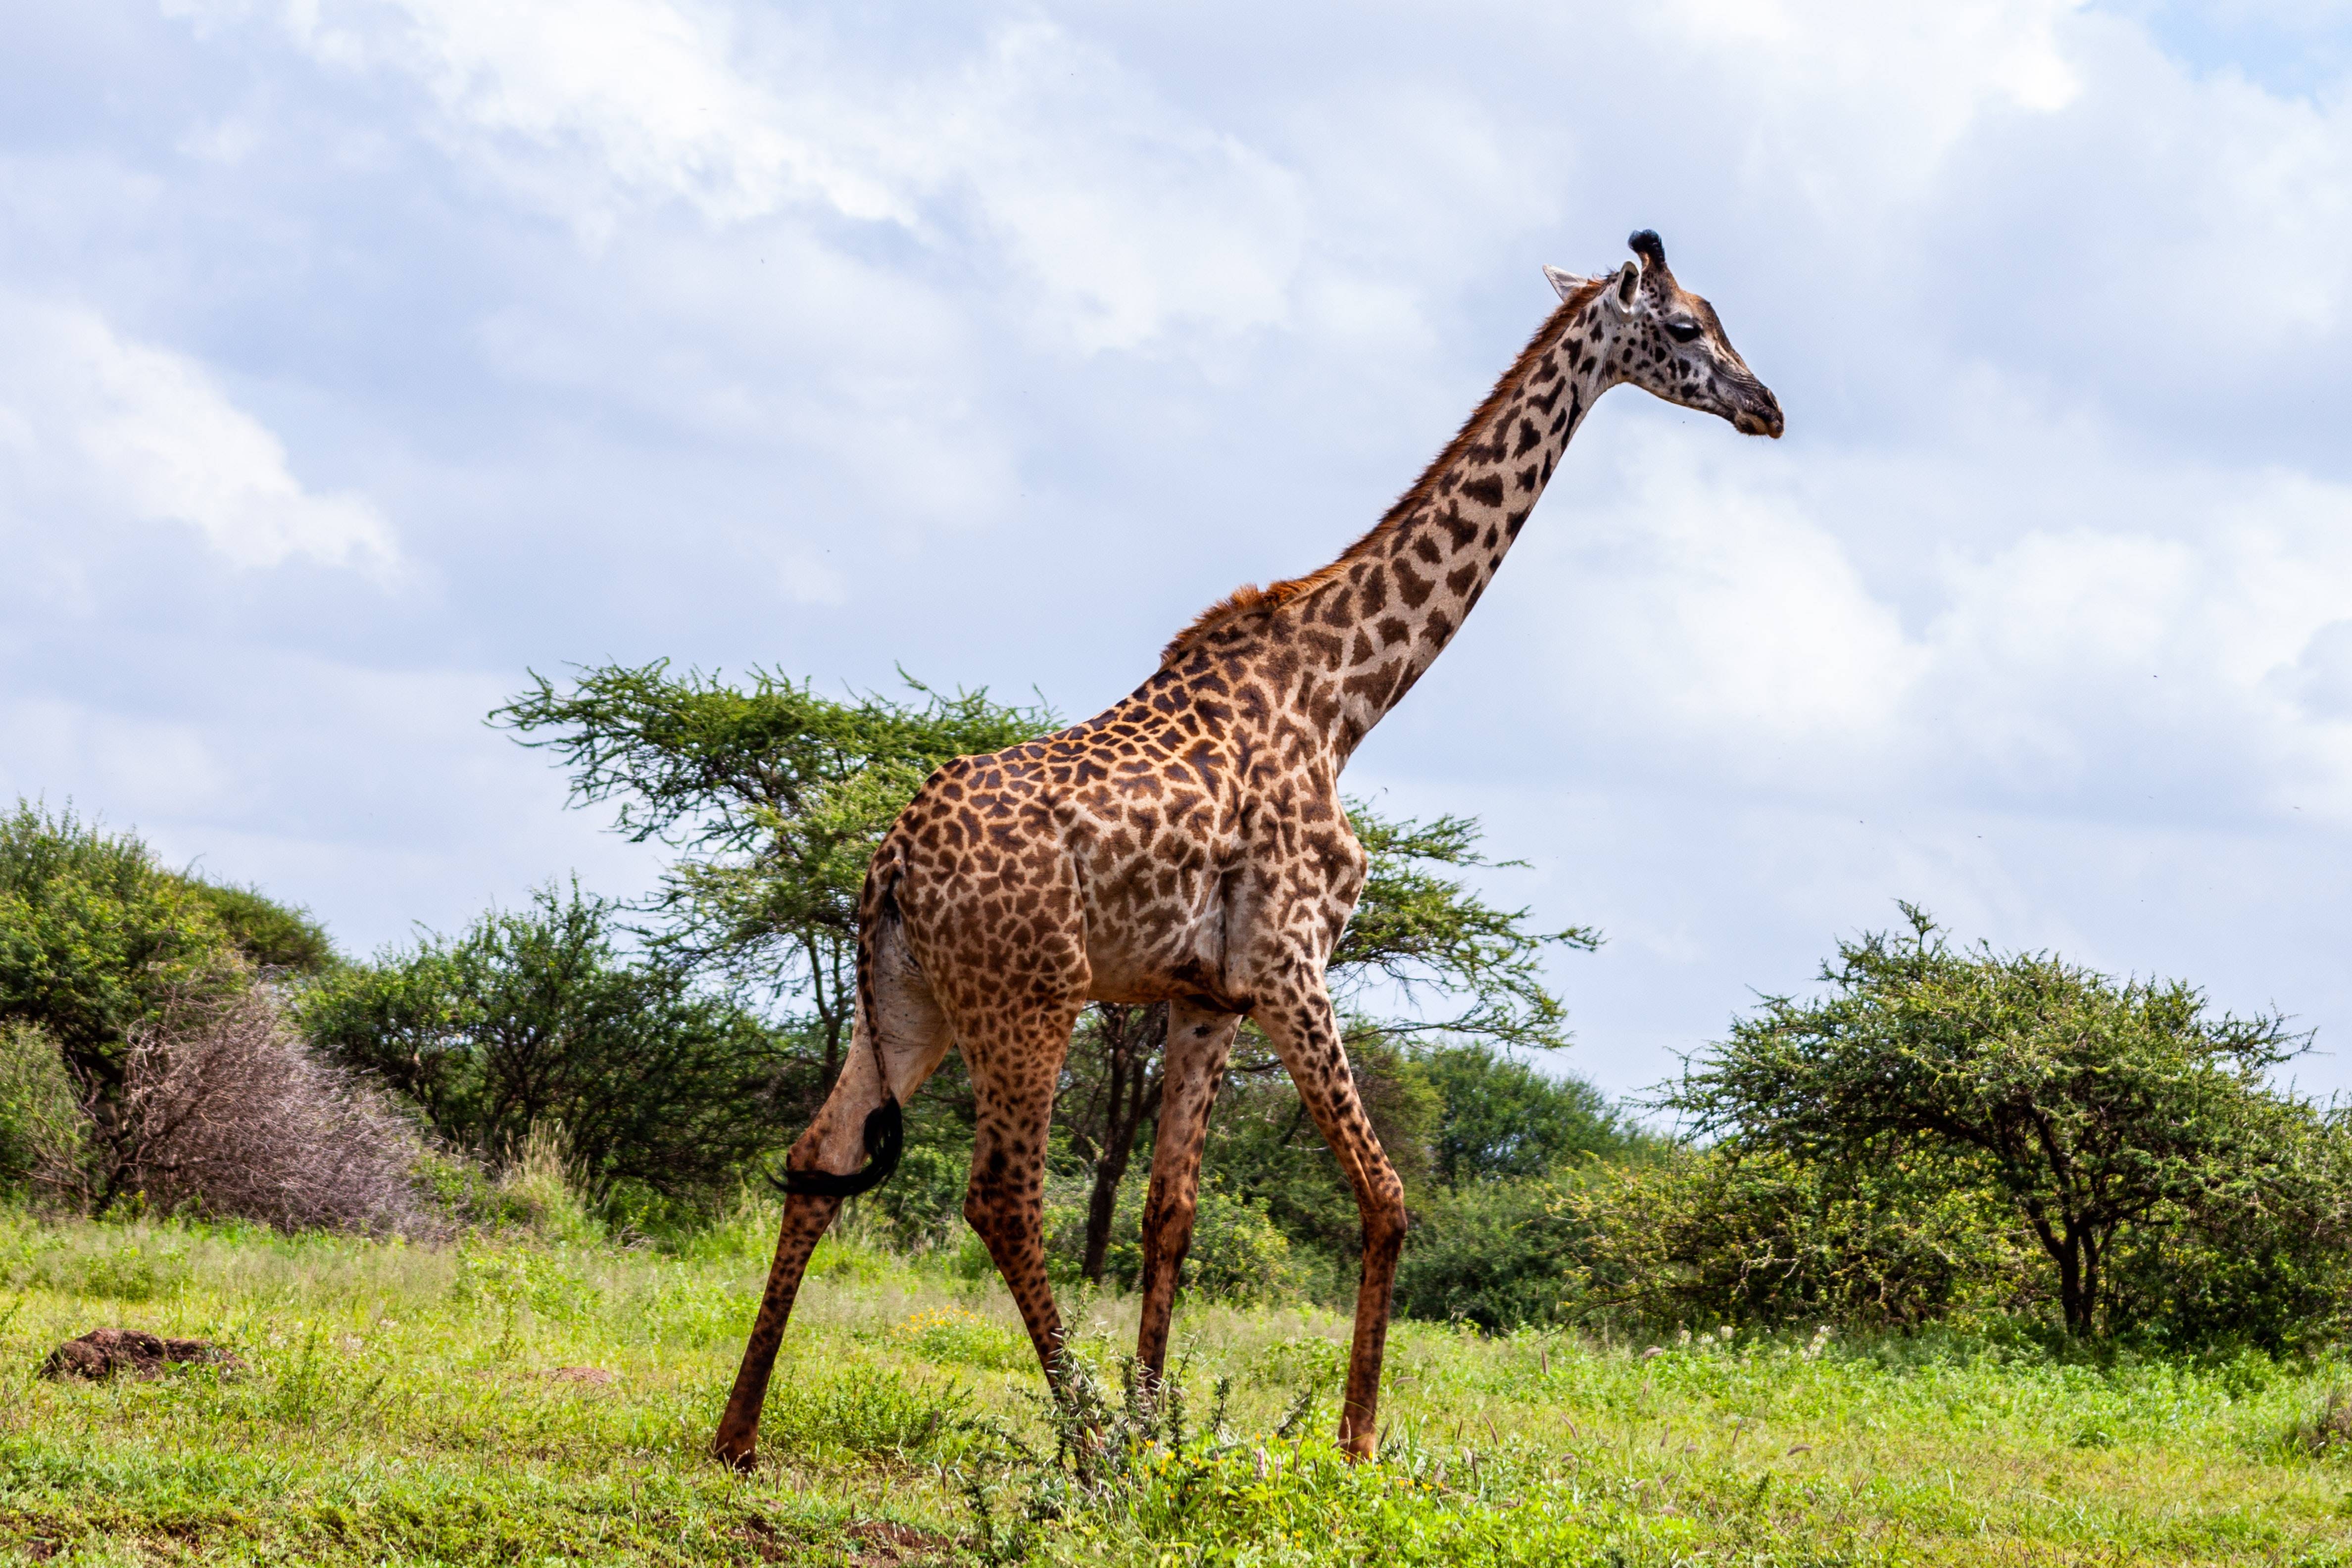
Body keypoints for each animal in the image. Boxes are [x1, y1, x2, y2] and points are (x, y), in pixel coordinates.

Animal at [713, 230, 1781, 1468]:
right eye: (1687, 327)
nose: (1767, 408)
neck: (1345, 697)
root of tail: (888, 865)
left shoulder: (1206, 993)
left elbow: (1168, 1210)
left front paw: (1158, 1428)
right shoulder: (1290, 960)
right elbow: (1388, 1196)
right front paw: (1351, 1444)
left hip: (911, 999)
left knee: (821, 1156)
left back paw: (739, 1436)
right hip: (1030, 996)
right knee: (1001, 1196)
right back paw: (1083, 1452)